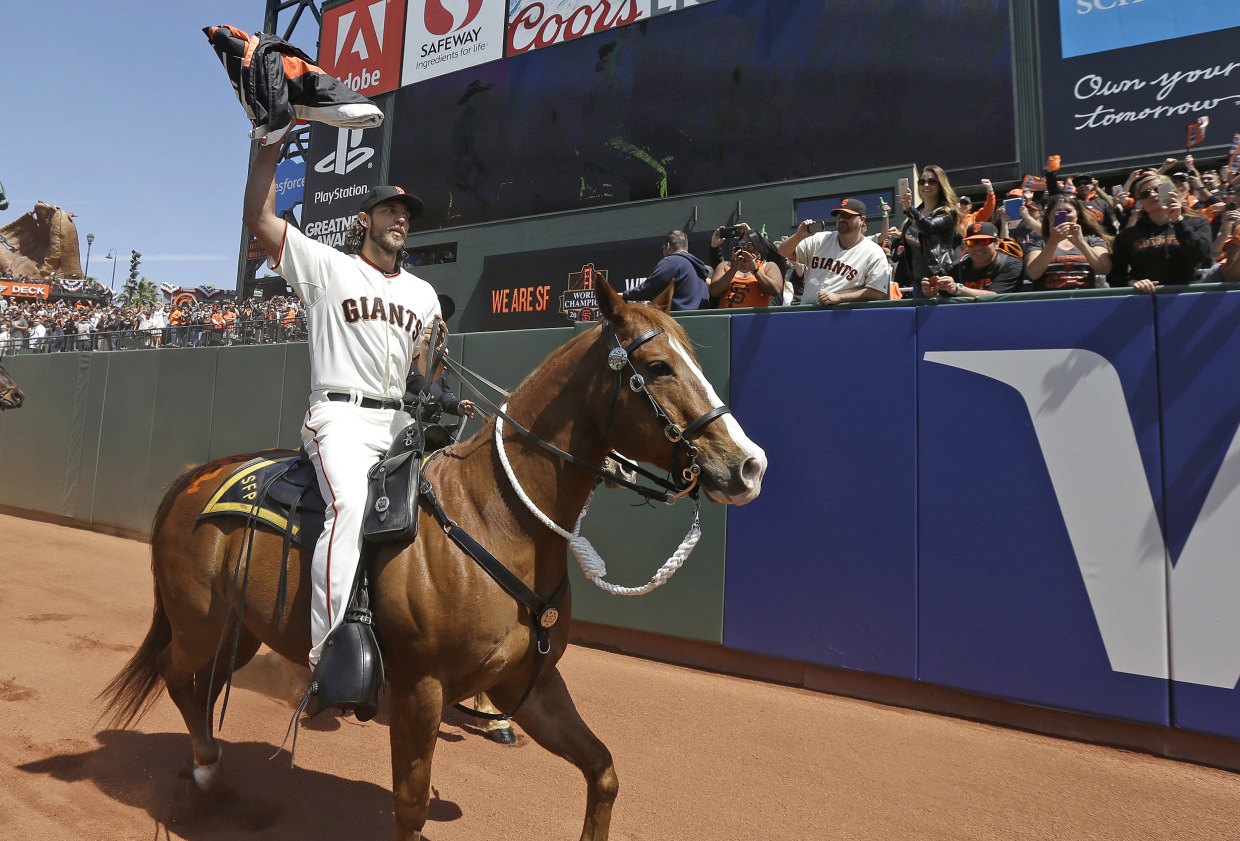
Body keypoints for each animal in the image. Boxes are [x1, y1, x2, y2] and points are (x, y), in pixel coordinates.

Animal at [101, 280, 763, 838]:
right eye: (657, 367)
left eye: (695, 361)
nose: (748, 464)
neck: (496, 518)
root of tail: (199, 474)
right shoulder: (421, 687)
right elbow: (411, 805)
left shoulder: (533, 684)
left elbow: (602, 771)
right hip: (199, 621)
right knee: (175, 674)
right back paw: (206, 771)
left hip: (238, 632)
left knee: (204, 685)